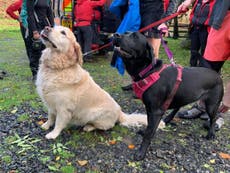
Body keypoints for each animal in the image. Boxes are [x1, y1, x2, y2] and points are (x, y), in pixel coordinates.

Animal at [36, 26, 165, 139]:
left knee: (105, 126)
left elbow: (58, 122)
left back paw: (88, 127)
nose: (46, 28)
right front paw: (46, 125)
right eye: (53, 26)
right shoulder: (51, 103)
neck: (58, 67)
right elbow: (51, 116)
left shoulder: (63, 108)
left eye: (63, 32)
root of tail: (120, 113)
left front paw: (53, 134)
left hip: (93, 114)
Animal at [112, 31, 224, 160]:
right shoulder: (150, 109)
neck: (148, 71)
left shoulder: (156, 111)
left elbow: (149, 133)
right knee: (178, 107)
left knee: (213, 118)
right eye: (125, 33)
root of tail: (216, 74)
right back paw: (168, 118)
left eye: (135, 36)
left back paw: (211, 133)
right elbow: (149, 125)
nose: (116, 35)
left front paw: (141, 152)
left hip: (211, 105)